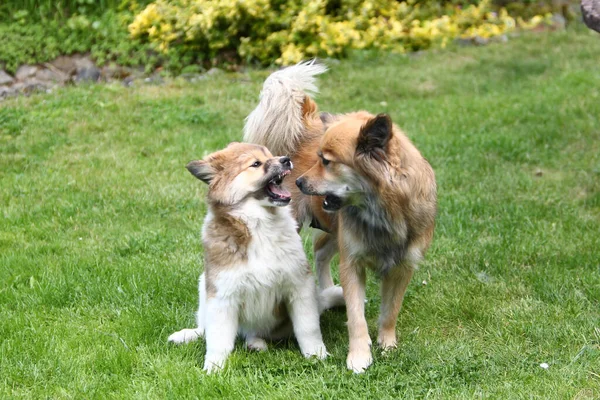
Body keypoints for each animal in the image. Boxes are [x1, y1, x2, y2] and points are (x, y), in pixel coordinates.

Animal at [244, 61, 436, 372]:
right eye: (318, 157)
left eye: (327, 161)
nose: (299, 182)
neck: (382, 211)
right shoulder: (352, 262)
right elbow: (357, 318)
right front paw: (358, 357)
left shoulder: (403, 266)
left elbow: (390, 311)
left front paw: (387, 345)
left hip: (335, 230)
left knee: (321, 250)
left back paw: (328, 292)